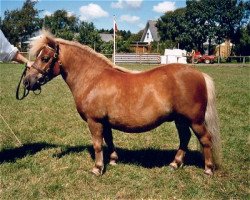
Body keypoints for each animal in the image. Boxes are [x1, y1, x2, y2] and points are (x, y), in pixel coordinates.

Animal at [23, 31, 221, 175]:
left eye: (45, 58)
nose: (27, 81)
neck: (92, 79)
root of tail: (199, 74)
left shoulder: (94, 121)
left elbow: (97, 144)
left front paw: (97, 168)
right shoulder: (105, 122)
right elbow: (109, 140)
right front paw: (112, 160)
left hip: (195, 120)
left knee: (205, 139)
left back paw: (208, 169)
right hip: (180, 120)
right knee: (184, 139)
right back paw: (174, 163)